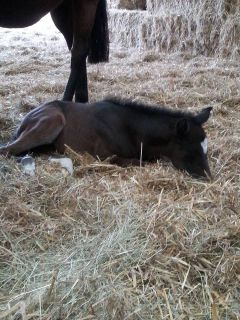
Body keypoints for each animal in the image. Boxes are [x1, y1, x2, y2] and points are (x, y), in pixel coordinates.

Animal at [0, 98, 212, 178]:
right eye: (190, 149)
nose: (208, 177)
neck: (131, 130)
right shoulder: (104, 156)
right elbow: (140, 162)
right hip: (52, 122)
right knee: (8, 150)